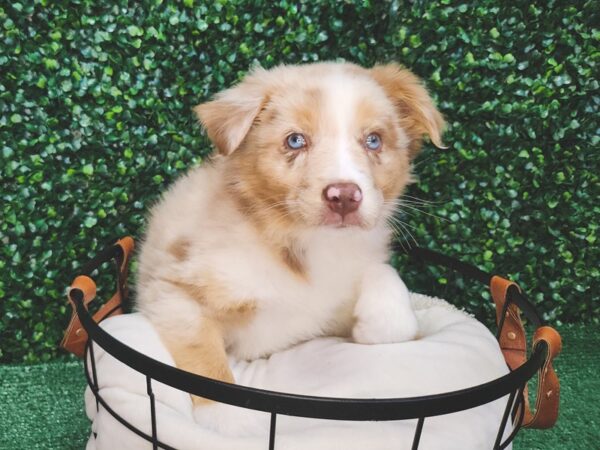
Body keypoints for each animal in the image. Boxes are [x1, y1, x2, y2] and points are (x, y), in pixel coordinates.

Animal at [137, 62, 446, 404]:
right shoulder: (173, 292)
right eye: (295, 140)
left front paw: (380, 321)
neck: (306, 243)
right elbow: (209, 376)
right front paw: (230, 417)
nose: (344, 197)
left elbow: (386, 283)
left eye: (374, 140)